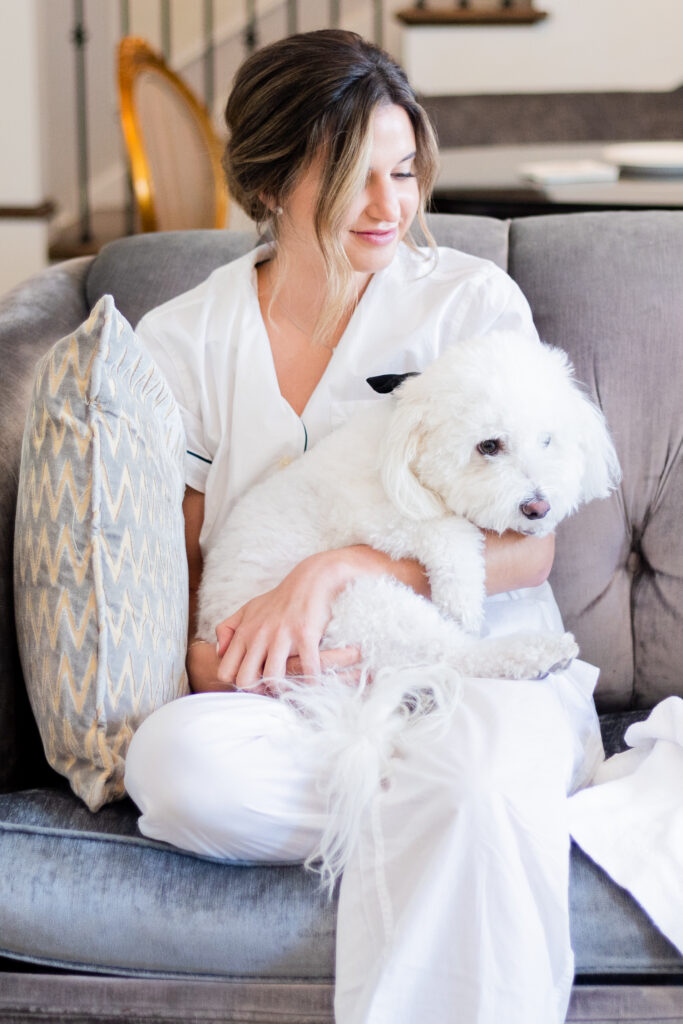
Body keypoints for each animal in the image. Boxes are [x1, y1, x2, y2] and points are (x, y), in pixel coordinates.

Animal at [196, 331, 618, 884]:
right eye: (488, 446)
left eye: (548, 441)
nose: (537, 507)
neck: (397, 446)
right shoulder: (385, 517)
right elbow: (446, 531)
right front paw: (463, 592)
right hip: (364, 604)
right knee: (454, 655)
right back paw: (538, 652)